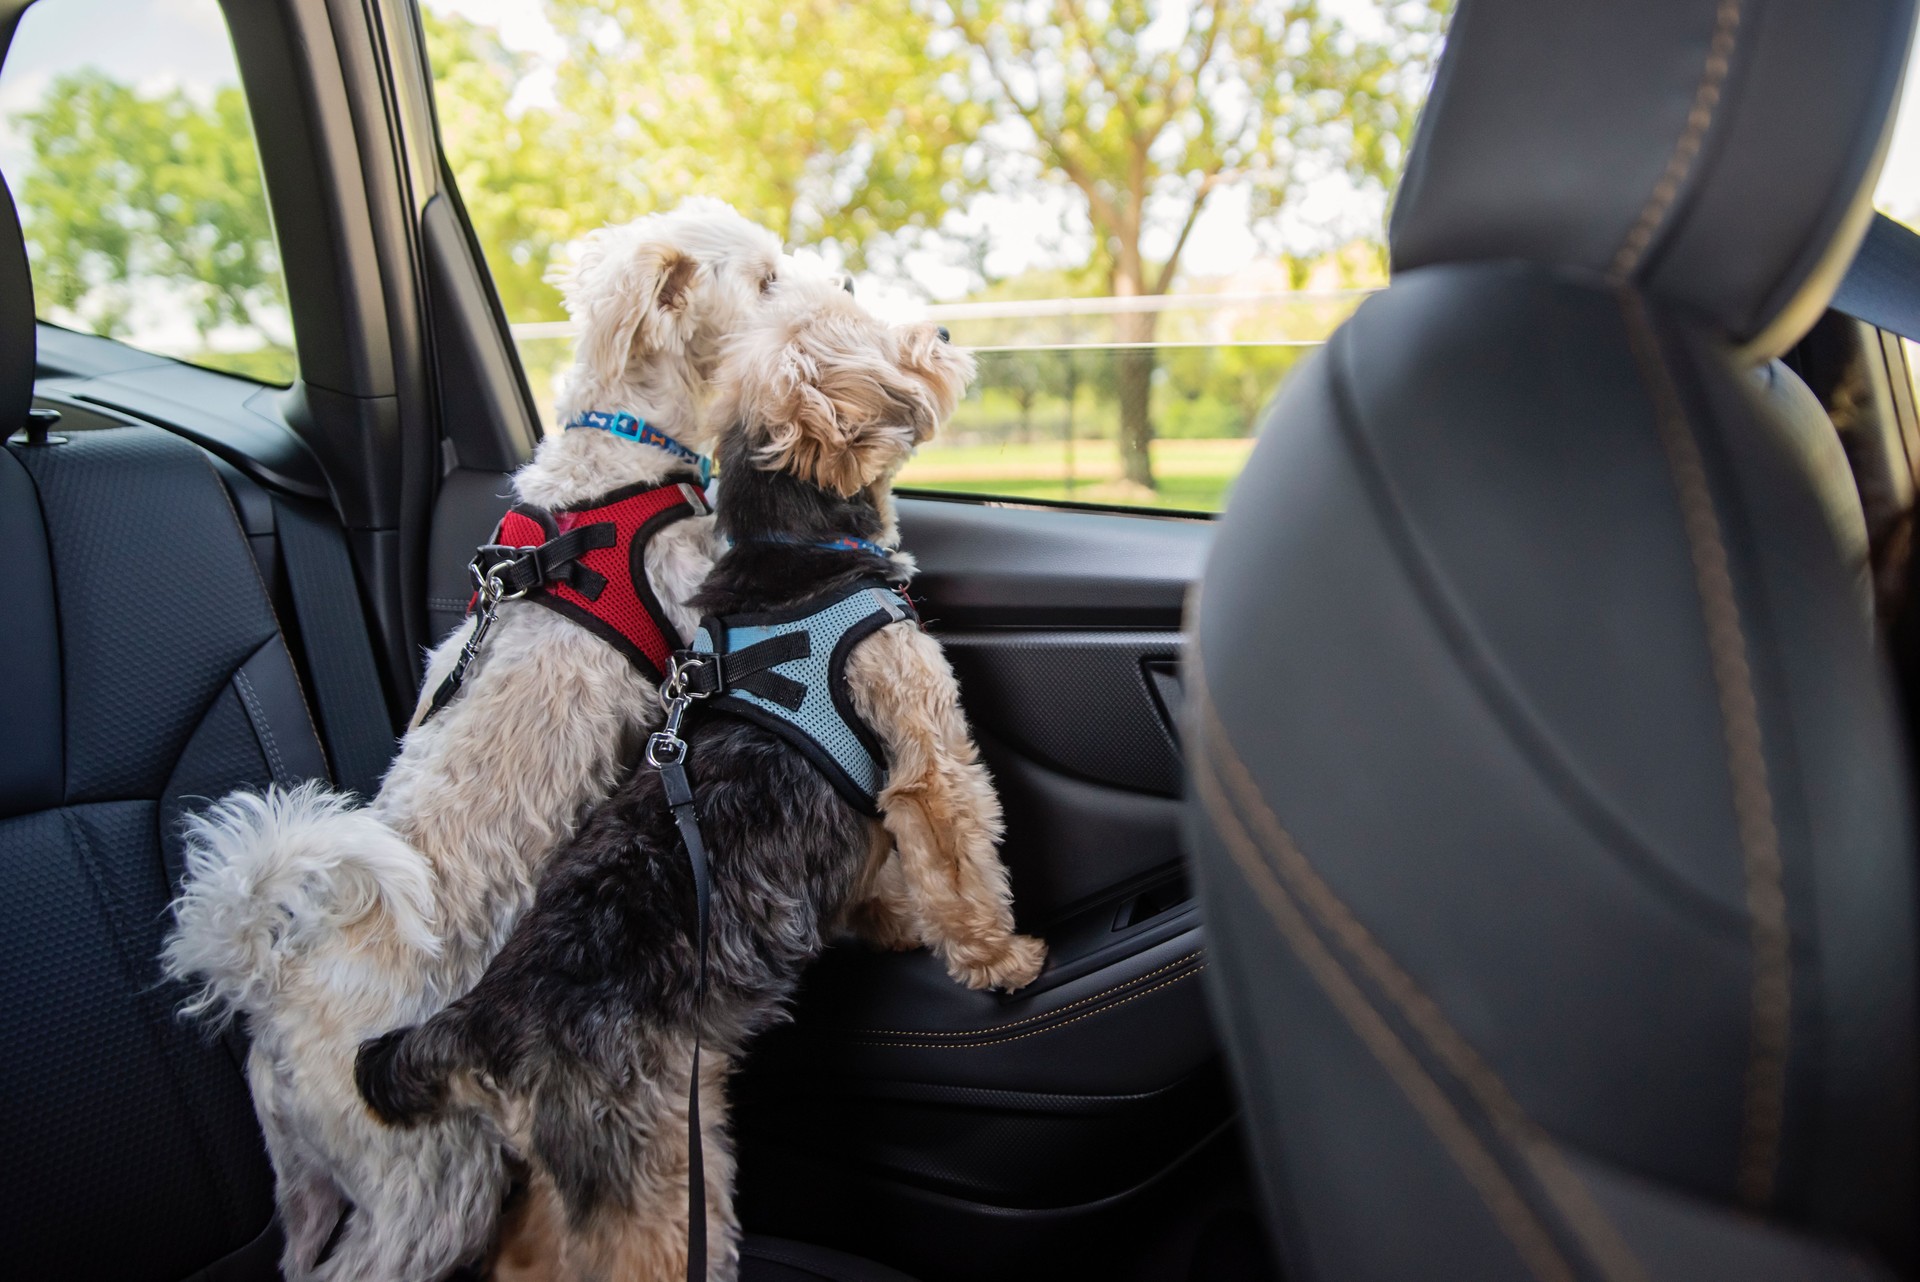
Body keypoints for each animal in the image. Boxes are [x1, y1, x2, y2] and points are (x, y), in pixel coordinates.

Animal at [360, 276, 1052, 1274]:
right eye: (877, 333)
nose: (948, 331)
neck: (798, 556)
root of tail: (486, 1020)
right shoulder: (925, 743)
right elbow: (959, 855)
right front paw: (999, 959)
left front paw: (888, 924)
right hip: (657, 1178)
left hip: (576, 1169)